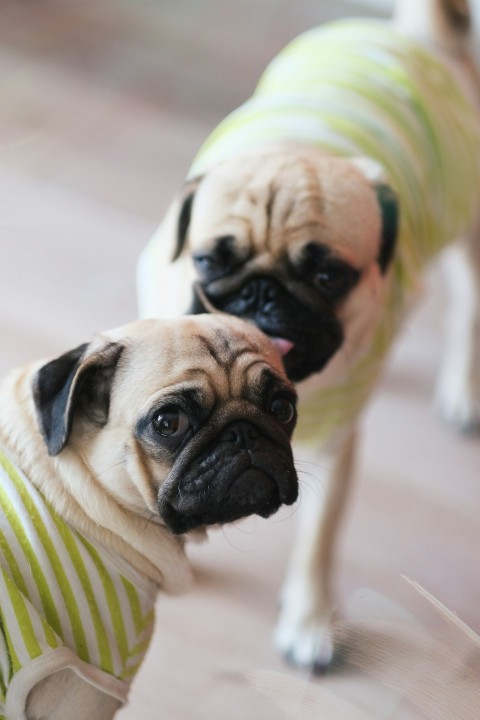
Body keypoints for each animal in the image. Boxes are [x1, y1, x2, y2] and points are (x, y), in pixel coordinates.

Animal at [137, 0, 480, 668]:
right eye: (209, 261)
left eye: (327, 276)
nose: (263, 294)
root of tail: (413, 38)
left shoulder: (333, 441)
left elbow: (318, 538)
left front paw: (310, 617)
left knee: (468, 307)